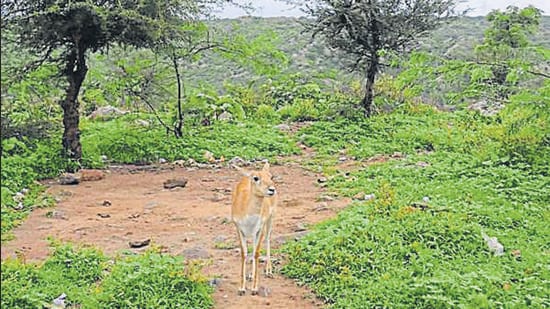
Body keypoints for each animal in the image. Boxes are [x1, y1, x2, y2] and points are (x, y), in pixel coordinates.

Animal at [231, 161, 278, 294]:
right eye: (256, 178)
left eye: (271, 176)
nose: (272, 189)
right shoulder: (239, 229)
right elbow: (244, 253)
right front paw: (242, 288)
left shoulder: (259, 229)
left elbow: (256, 253)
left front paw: (254, 288)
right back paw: (251, 275)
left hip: (271, 218)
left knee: (268, 239)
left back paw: (268, 271)